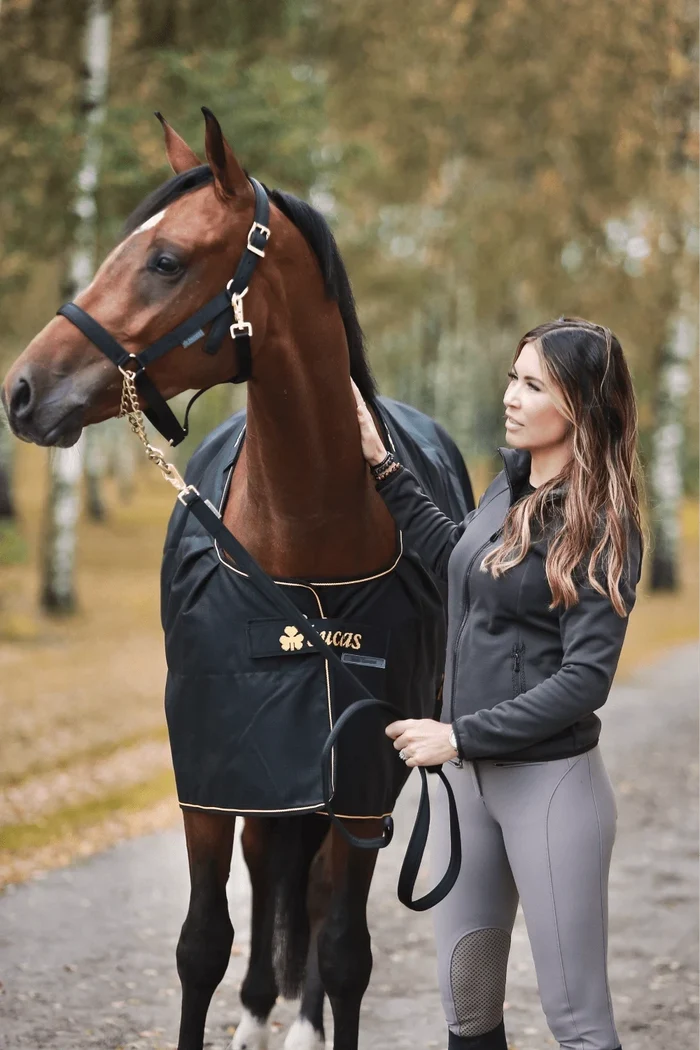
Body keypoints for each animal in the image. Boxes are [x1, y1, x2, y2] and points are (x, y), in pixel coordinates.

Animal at [2, 108, 473, 1050]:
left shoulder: (362, 781)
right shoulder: (215, 779)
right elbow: (202, 946)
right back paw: (259, 1015)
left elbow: (345, 952)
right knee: (266, 880)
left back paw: (296, 1023)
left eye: (165, 259)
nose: (22, 390)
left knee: (314, 897)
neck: (302, 563)